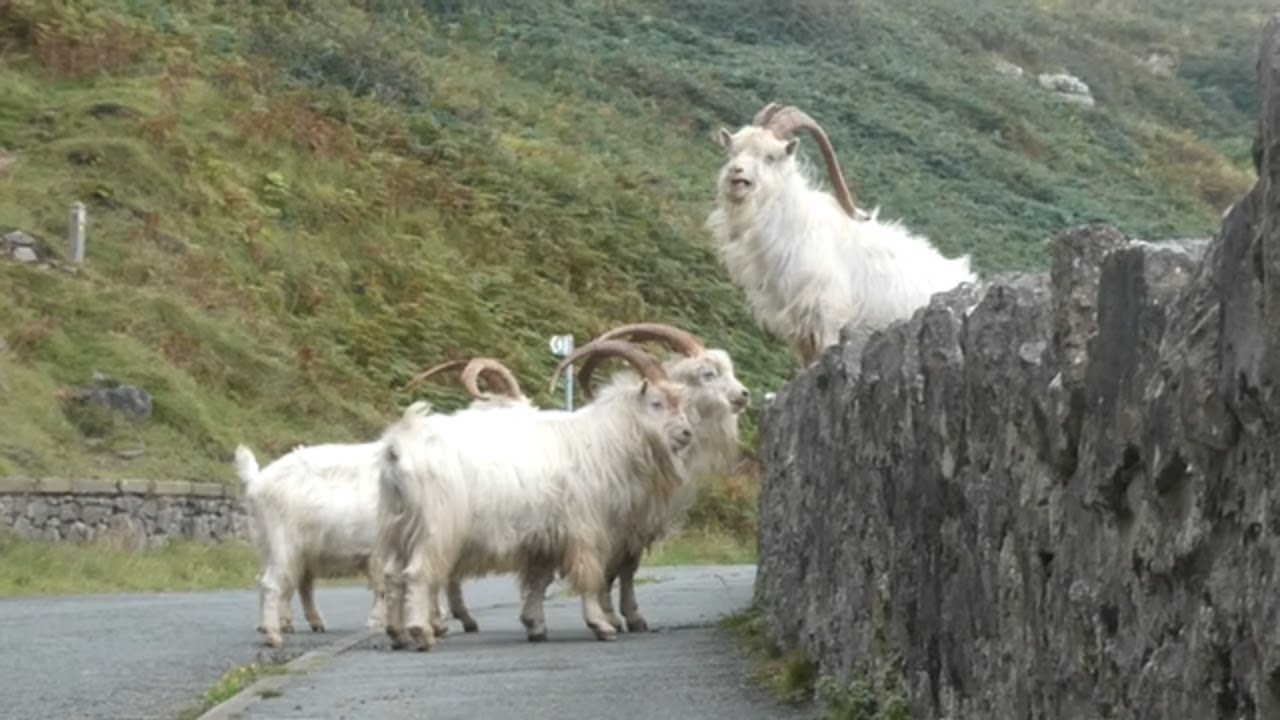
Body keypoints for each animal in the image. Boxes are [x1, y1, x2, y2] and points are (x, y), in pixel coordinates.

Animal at [376, 340, 693, 651]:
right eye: (656, 403)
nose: (687, 433)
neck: (602, 440)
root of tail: (398, 447)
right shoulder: (585, 531)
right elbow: (590, 577)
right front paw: (601, 625)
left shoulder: (544, 537)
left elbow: (539, 580)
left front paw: (535, 626)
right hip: (435, 528)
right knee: (418, 573)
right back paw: (422, 633)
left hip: (397, 527)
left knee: (392, 574)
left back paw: (397, 634)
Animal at [706, 102, 976, 367]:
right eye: (733, 150)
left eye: (770, 156)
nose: (736, 173)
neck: (799, 227)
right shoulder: (801, 333)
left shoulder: (829, 322)